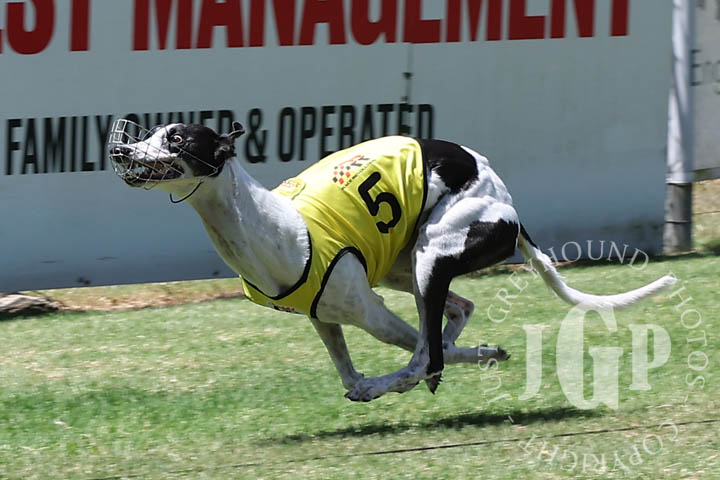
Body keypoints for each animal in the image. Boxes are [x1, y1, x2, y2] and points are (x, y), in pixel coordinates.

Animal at [108, 119, 676, 402]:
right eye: (151, 132)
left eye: (176, 138)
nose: (121, 152)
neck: (276, 225)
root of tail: (508, 203)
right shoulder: (323, 318)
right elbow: (351, 372)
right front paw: (484, 353)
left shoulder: (371, 313)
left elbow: (411, 354)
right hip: (408, 264)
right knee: (457, 311)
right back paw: (467, 351)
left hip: (431, 255)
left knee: (429, 353)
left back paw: (411, 377)